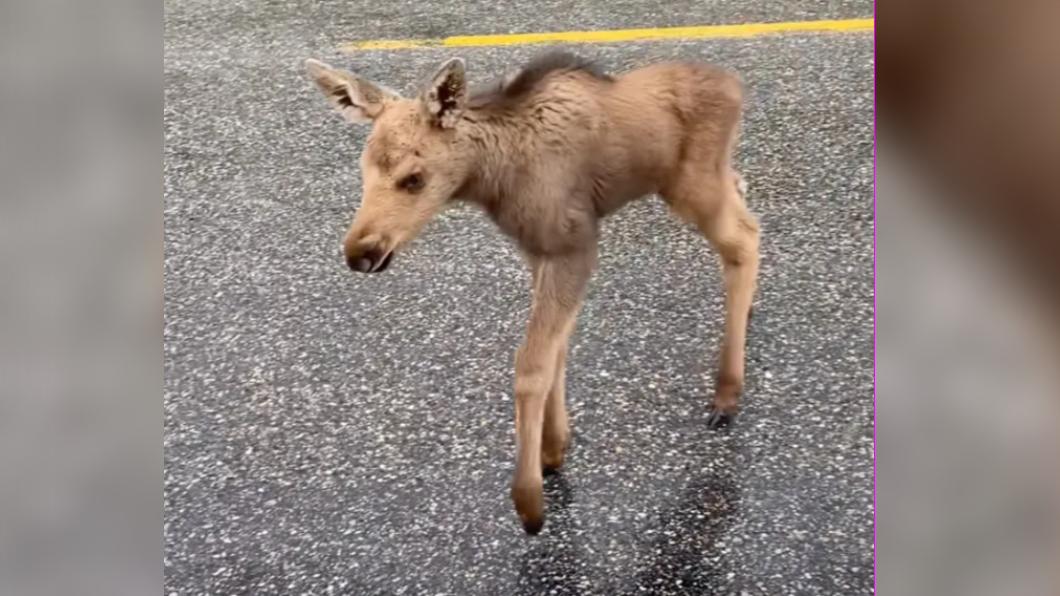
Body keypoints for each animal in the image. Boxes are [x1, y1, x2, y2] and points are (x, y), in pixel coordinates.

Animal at [305, 51, 760, 535]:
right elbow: (557, 348)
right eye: (363, 170)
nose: (360, 253)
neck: (493, 180)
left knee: (744, 240)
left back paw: (726, 393)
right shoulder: (539, 253)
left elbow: (532, 364)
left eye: (414, 178)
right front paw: (555, 445)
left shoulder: (573, 247)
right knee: (743, 196)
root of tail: (736, 86)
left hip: (690, 185)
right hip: (705, 179)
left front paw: (529, 499)